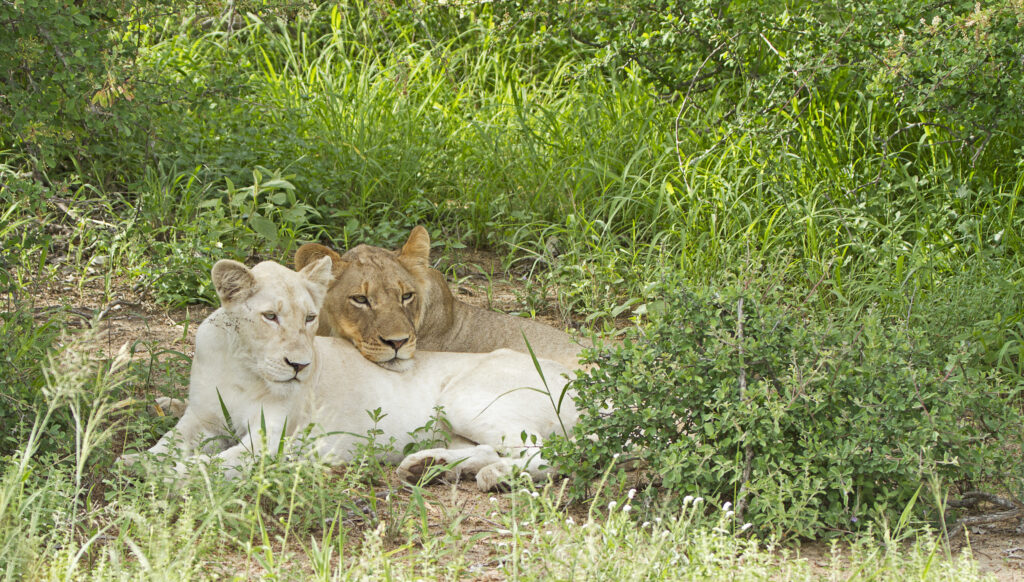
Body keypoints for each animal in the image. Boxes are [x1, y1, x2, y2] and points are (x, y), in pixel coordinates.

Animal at [126, 257, 577, 489]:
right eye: (270, 317)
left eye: (310, 318)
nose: (299, 366)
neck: (244, 366)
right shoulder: (199, 419)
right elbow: (167, 444)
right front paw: (135, 461)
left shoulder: (270, 441)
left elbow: (211, 464)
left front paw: (163, 477)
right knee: (491, 448)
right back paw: (427, 466)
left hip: (467, 399)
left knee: (546, 454)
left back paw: (492, 476)